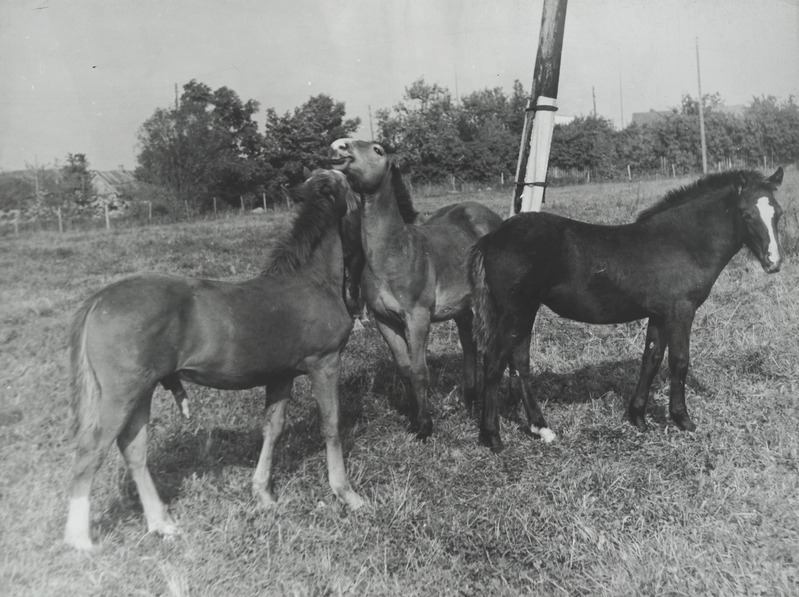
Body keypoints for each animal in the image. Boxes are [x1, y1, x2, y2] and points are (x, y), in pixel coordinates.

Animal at [65, 168, 366, 548]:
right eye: (348, 185)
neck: (311, 280)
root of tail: (99, 299)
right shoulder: (324, 363)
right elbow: (331, 424)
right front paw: (346, 493)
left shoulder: (281, 374)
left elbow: (273, 428)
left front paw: (263, 494)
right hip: (122, 393)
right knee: (91, 450)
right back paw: (80, 540)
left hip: (141, 391)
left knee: (133, 449)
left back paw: (161, 523)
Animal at [328, 140, 504, 438]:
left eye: (377, 150)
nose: (339, 146)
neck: (394, 252)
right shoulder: (384, 321)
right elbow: (405, 369)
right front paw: (413, 420)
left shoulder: (418, 318)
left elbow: (420, 371)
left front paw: (425, 426)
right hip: (462, 307)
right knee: (469, 344)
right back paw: (470, 398)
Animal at [472, 165, 784, 450]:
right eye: (746, 214)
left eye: (778, 213)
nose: (774, 263)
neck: (682, 243)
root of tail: (493, 237)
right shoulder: (680, 312)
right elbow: (679, 361)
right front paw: (683, 420)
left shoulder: (659, 315)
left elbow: (651, 359)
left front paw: (638, 418)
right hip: (515, 313)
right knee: (494, 361)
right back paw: (493, 437)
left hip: (524, 313)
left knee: (520, 362)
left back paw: (542, 428)